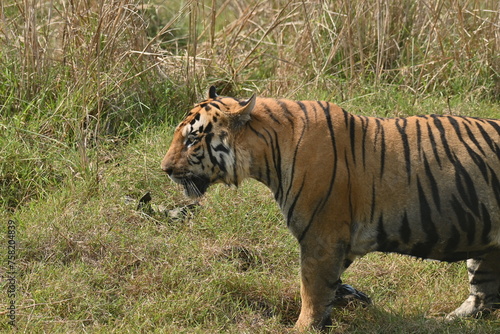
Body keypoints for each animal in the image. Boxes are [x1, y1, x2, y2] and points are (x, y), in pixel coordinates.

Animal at [162, 86, 500, 332]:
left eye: (192, 140)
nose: (164, 169)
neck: (266, 153)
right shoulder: (336, 241)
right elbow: (327, 286)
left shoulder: (321, 236)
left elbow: (311, 289)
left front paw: (302, 328)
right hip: (485, 245)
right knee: (483, 294)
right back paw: (445, 320)